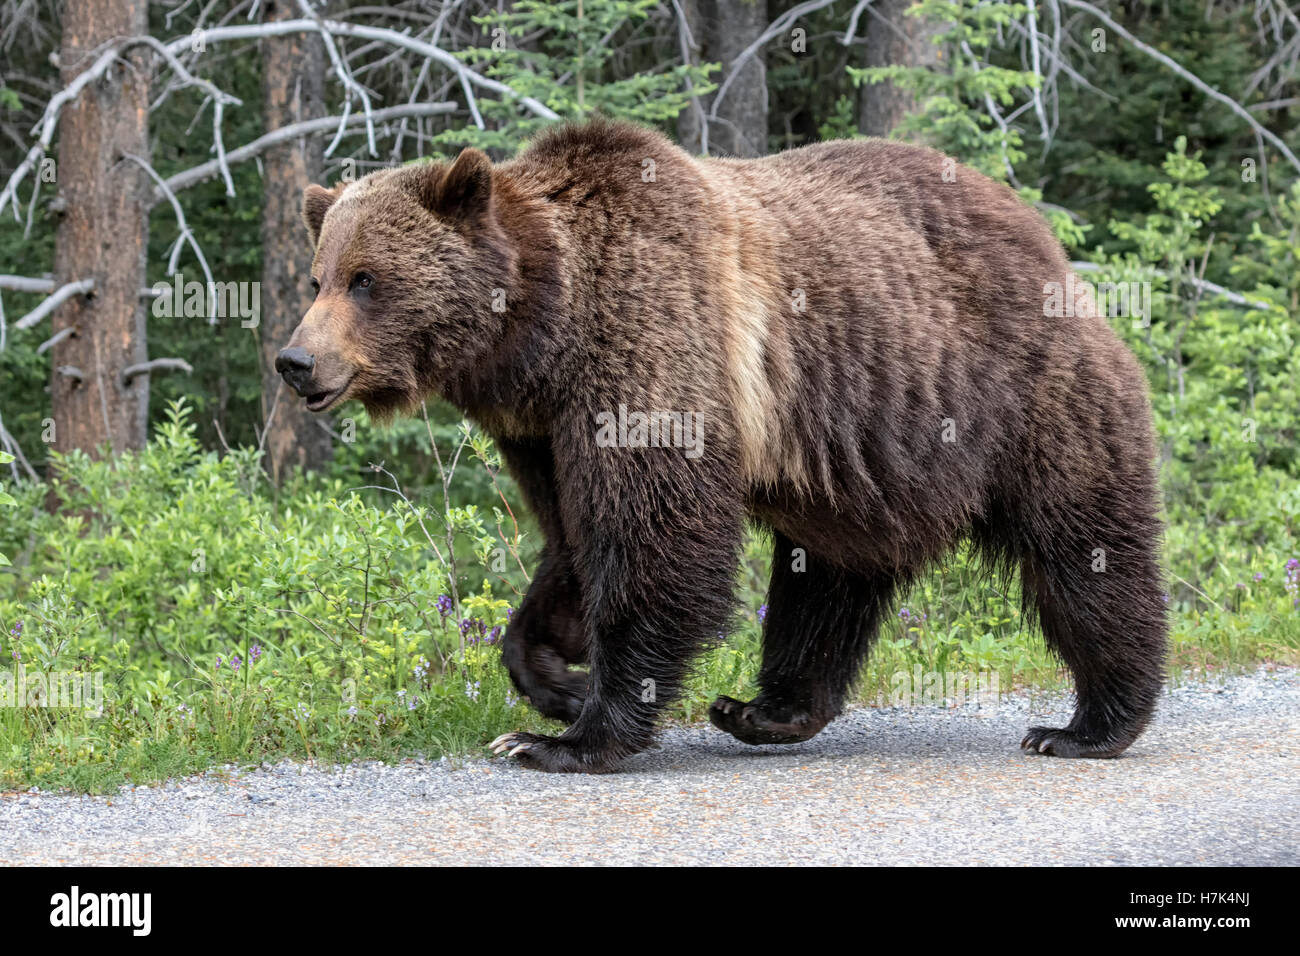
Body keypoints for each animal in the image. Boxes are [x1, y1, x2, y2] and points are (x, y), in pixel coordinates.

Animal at [282, 121, 1170, 780]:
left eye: (367, 278)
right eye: (319, 276)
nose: (297, 362)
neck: (543, 333)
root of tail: (1051, 246)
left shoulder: (648, 344)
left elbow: (655, 534)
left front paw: (565, 738)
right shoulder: (542, 428)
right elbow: (570, 542)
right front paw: (553, 681)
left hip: (1025, 397)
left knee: (1083, 549)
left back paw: (1088, 723)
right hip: (861, 462)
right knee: (827, 580)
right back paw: (763, 709)